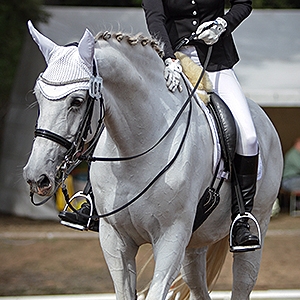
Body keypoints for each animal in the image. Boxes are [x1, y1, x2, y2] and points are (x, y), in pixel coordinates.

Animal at [22, 21, 282, 300]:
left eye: (77, 101)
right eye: (38, 96)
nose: (37, 177)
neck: (136, 148)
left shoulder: (171, 236)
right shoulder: (115, 239)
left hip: (256, 225)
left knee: (244, 279)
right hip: (196, 243)